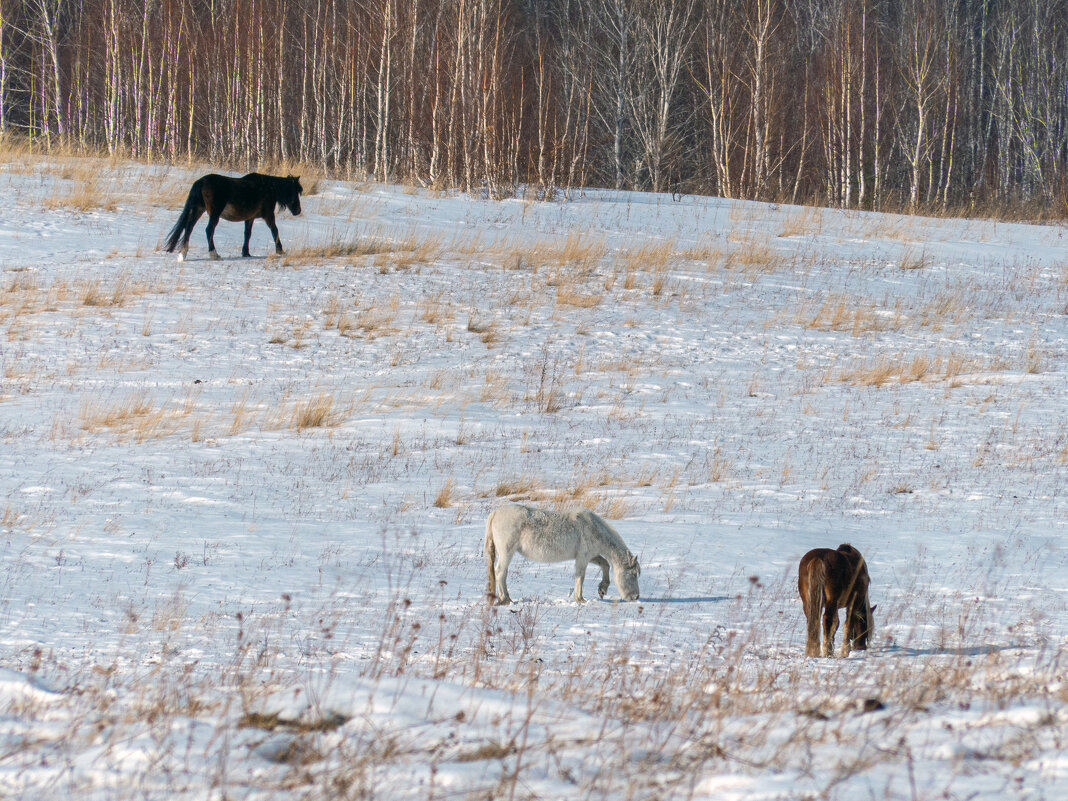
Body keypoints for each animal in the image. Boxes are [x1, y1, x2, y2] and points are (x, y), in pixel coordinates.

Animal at [164, 174, 303, 261]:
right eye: (294, 191)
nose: (298, 210)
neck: (268, 187)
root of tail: (201, 182)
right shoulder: (268, 215)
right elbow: (275, 231)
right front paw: (280, 250)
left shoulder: (250, 218)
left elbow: (247, 234)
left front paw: (246, 253)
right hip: (214, 213)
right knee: (209, 230)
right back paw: (214, 254)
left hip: (198, 210)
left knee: (189, 228)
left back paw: (183, 254)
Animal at [487, 504, 640, 606]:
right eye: (633, 574)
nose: (636, 597)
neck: (594, 528)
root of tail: (495, 512)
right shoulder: (583, 557)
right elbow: (580, 577)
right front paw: (580, 599)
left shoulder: (591, 556)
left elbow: (605, 565)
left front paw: (602, 589)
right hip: (507, 552)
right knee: (500, 572)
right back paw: (506, 599)